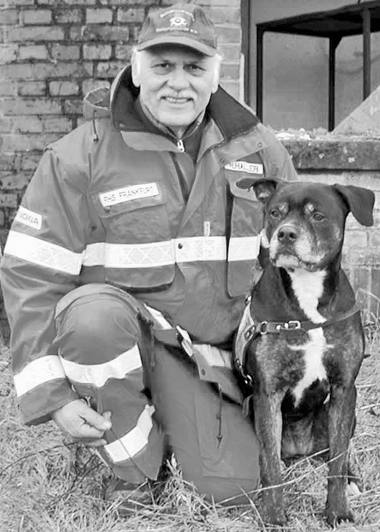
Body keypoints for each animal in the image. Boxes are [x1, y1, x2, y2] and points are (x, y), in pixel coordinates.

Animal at [233, 177, 376, 524]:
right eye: (275, 212)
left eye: (318, 216)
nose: (286, 234)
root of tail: (300, 448)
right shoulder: (267, 394)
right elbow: (270, 464)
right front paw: (273, 515)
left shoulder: (344, 388)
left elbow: (337, 461)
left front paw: (338, 511)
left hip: (344, 413)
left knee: (337, 452)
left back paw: (352, 480)